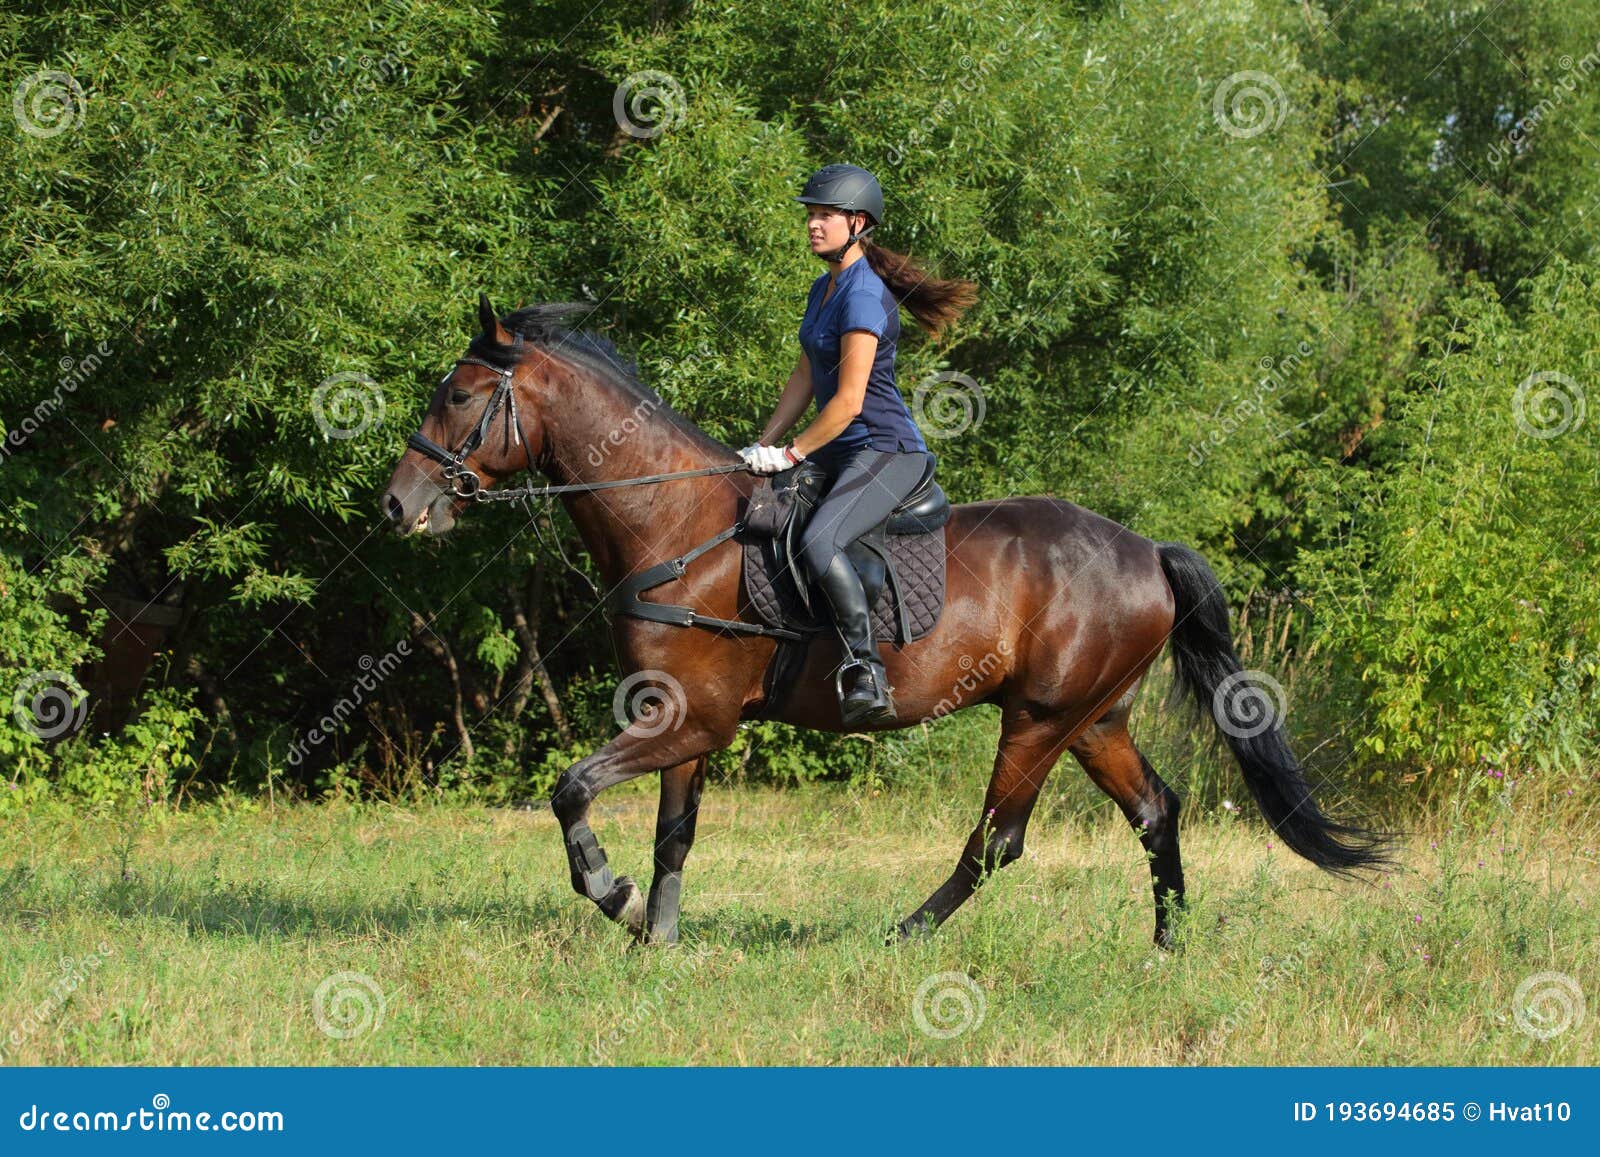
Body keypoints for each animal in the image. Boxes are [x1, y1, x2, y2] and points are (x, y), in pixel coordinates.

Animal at [377, 296, 1388, 947]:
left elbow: (571, 788)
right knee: (1154, 809)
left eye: (459, 396)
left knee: (998, 841)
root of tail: (1145, 549)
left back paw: (901, 933)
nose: (396, 506)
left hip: (1040, 719)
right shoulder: (679, 717)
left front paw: (611, 894)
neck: (675, 523)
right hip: (1096, 717)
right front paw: (654, 937)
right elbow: (673, 833)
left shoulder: (691, 718)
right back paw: (1166, 947)